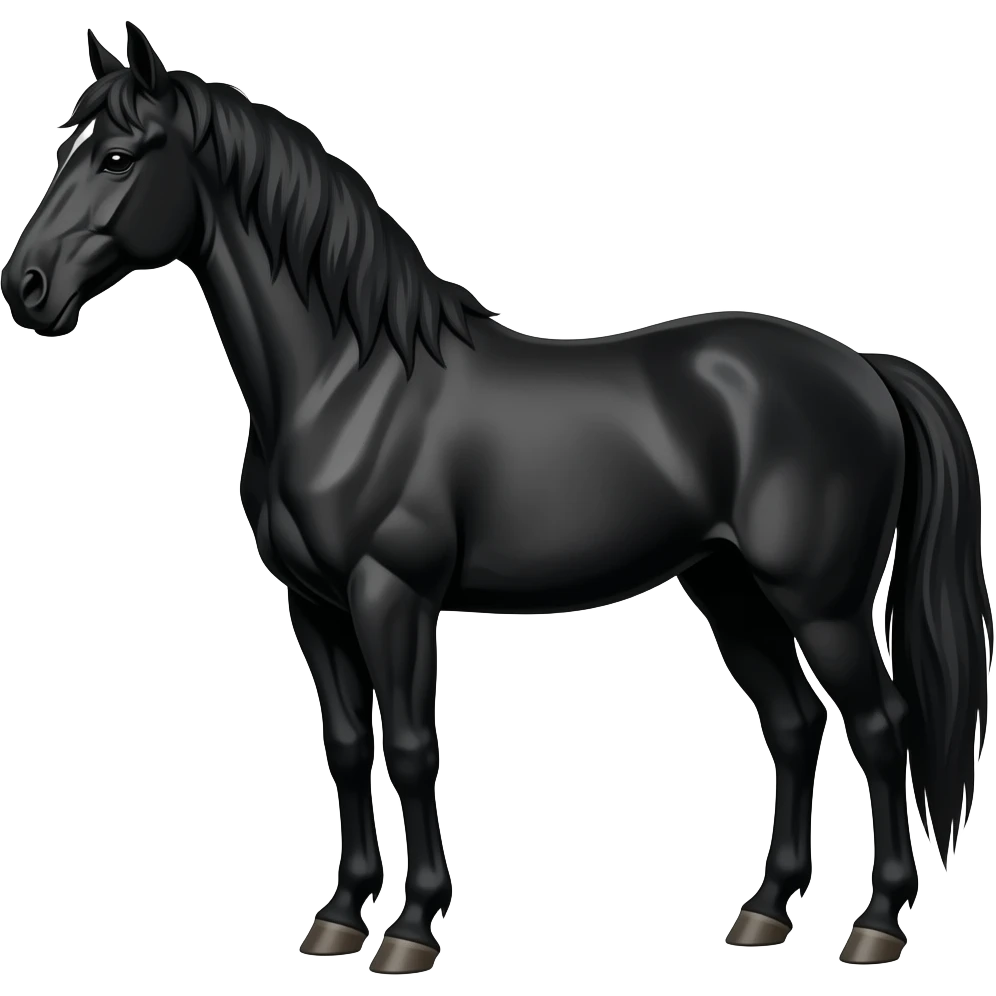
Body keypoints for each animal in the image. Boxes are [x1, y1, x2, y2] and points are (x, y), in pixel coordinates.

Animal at [2, 23, 991, 974]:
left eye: (118, 157)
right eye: (64, 146)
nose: (26, 288)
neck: (347, 381)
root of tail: (862, 369)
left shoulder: (392, 595)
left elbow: (411, 748)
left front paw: (410, 929)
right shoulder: (314, 605)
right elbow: (346, 747)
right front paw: (337, 918)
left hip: (820, 602)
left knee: (880, 725)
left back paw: (877, 925)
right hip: (731, 589)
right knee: (794, 726)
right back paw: (764, 912)